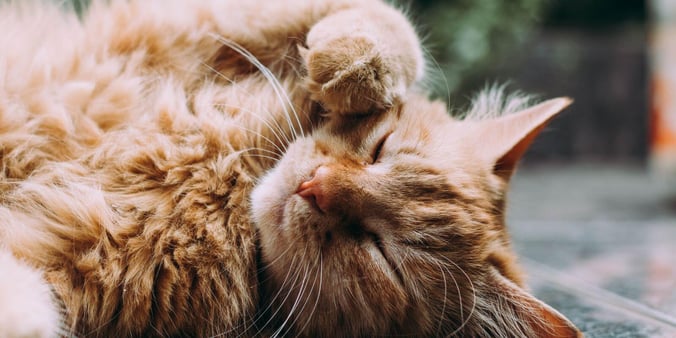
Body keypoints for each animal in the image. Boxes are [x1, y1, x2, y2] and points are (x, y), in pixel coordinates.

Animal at [0, 0, 584, 336]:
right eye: (380, 149)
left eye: (383, 255)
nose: (315, 187)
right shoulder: (186, 24)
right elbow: (390, 24)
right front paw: (351, 64)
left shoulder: (68, 276)